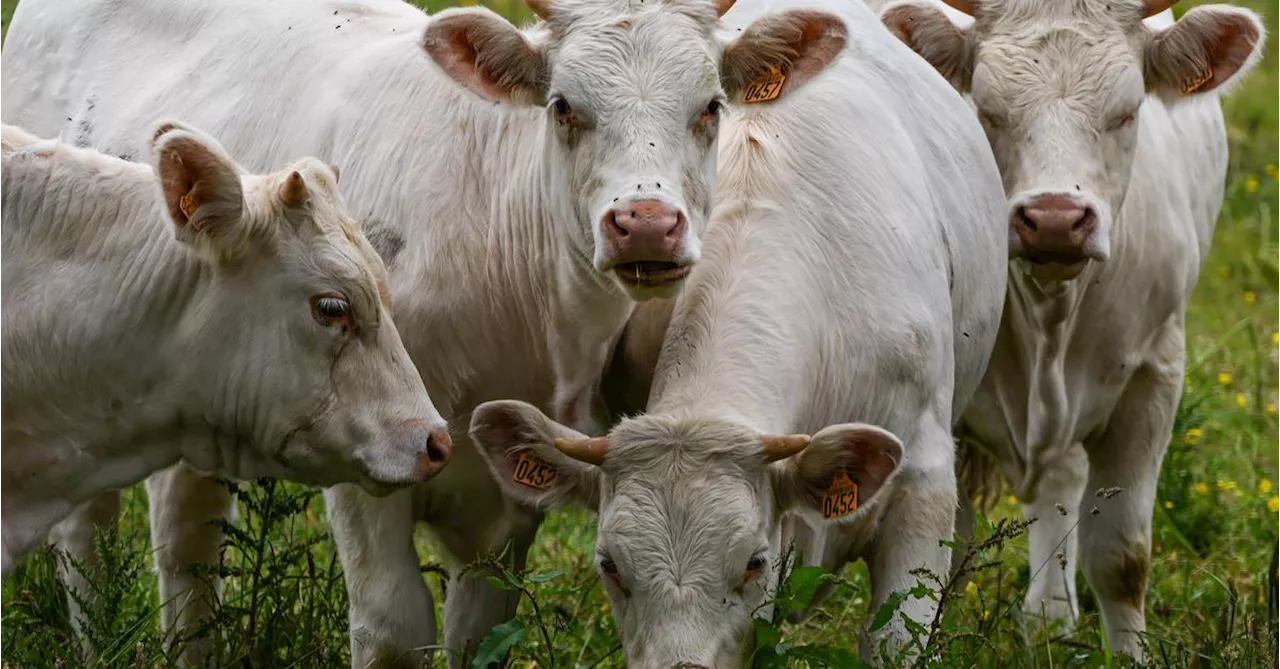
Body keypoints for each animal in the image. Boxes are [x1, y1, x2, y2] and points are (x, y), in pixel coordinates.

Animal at [875, 0, 1264, 660]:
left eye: (1128, 111)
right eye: (987, 110)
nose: (1055, 220)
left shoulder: (1155, 375)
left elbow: (1122, 557)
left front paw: (1130, 657)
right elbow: (942, 560)